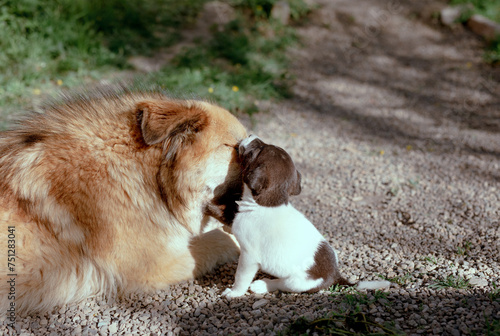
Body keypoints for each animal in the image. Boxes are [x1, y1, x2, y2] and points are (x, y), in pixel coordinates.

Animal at [220, 135, 390, 298]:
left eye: (257, 149)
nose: (251, 135)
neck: (267, 204)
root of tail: (336, 275)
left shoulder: (249, 256)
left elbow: (241, 277)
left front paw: (234, 293)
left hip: (296, 282)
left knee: (281, 284)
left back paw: (262, 285)